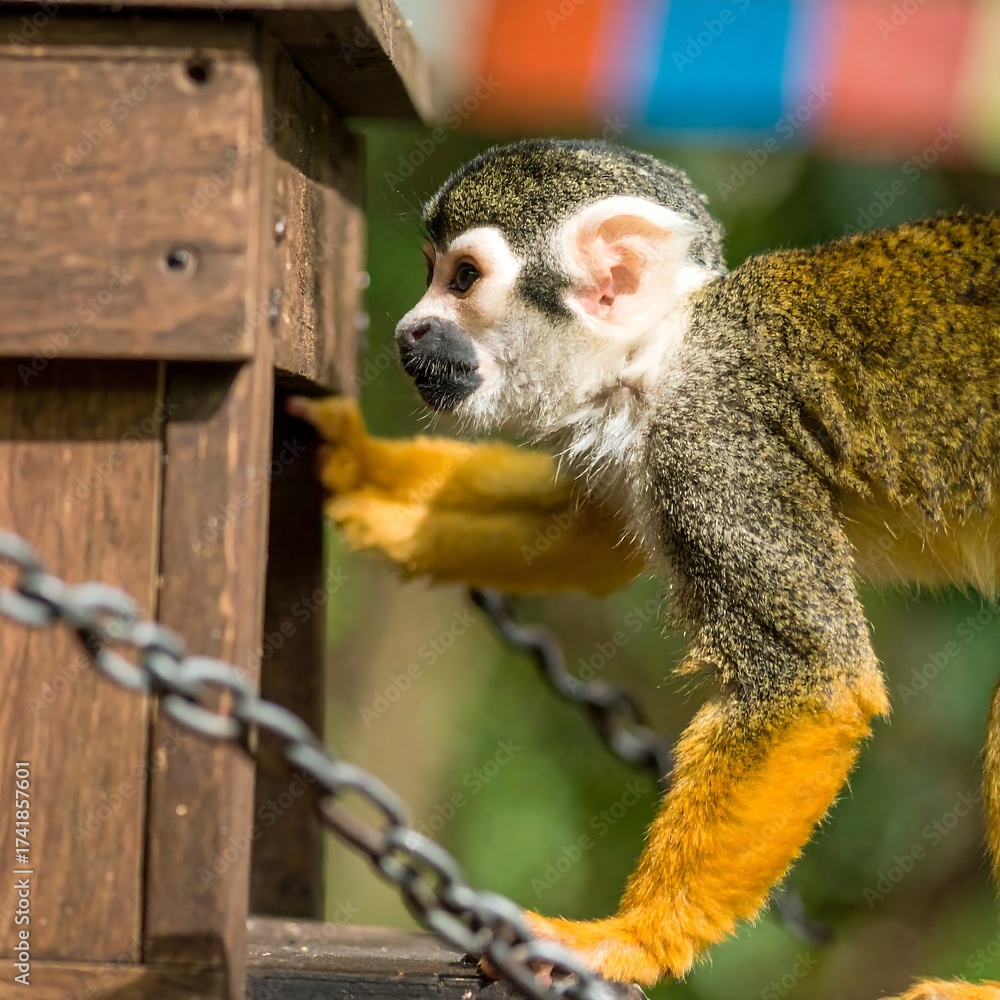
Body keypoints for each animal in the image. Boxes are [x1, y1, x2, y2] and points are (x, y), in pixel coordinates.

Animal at [290, 138, 1000, 999]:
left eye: (461, 278)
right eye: (432, 272)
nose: (408, 331)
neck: (665, 349)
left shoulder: (711, 436)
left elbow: (813, 683)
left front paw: (630, 941)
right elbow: (585, 539)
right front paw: (355, 468)